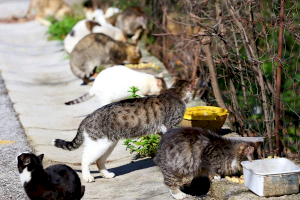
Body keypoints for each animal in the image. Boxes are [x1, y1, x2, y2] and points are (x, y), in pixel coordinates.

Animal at [52, 77, 198, 183]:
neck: (175, 92)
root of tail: (88, 117)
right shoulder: (170, 126)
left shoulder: (162, 131)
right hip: (99, 144)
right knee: (86, 159)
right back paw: (87, 177)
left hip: (108, 144)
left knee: (99, 161)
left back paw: (106, 175)